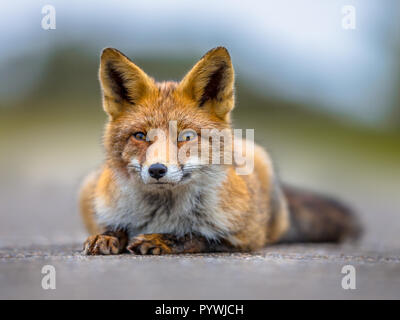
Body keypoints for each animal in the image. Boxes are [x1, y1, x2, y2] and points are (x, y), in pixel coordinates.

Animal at [79, 47, 360, 255]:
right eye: (140, 136)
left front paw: (161, 239)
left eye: (186, 137)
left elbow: (196, 236)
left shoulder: (245, 237)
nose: (157, 170)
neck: (164, 212)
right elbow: (113, 226)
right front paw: (108, 236)